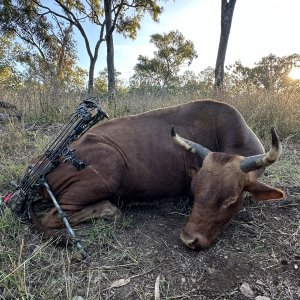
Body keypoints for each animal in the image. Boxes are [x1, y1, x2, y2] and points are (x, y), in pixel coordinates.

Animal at [34, 100, 282, 248]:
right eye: (196, 193)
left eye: (230, 200)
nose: (189, 239)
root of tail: (42, 163)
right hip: (110, 170)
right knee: (52, 217)